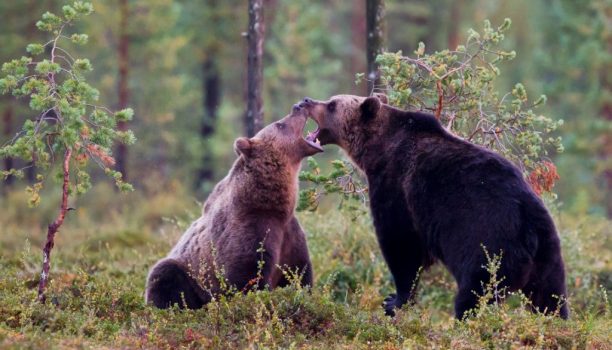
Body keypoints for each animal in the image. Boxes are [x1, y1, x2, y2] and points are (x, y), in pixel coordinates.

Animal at [145, 104, 322, 308]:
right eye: (279, 124)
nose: (299, 105)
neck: (274, 206)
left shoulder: (290, 236)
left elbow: (299, 274)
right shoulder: (251, 228)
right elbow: (246, 278)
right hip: (187, 273)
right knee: (164, 274)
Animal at [300, 94, 568, 318]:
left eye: (332, 104)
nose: (306, 101)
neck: (377, 149)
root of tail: (529, 224)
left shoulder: (397, 186)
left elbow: (401, 245)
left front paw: (394, 301)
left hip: (489, 245)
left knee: (475, 294)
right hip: (547, 253)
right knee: (550, 296)